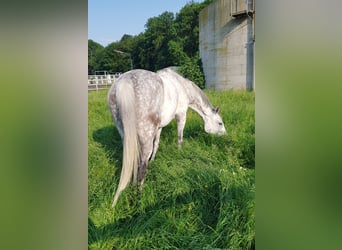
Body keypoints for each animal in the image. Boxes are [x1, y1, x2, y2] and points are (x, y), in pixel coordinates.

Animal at [105, 67, 226, 208]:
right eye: (220, 123)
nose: (225, 136)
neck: (182, 86)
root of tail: (126, 81)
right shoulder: (181, 116)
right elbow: (179, 138)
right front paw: (179, 153)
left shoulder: (159, 127)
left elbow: (157, 143)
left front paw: (153, 160)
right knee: (142, 168)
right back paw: (138, 197)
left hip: (126, 136)